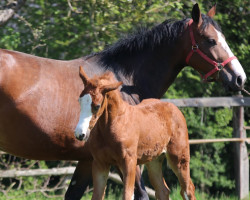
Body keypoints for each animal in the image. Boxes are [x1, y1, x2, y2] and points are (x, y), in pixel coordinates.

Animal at [75, 66, 195, 200]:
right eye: (79, 100)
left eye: (97, 106)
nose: (80, 133)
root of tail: (174, 108)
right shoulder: (100, 164)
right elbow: (97, 196)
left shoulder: (129, 162)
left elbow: (128, 194)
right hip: (154, 160)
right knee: (163, 190)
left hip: (179, 157)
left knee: (187, 189)